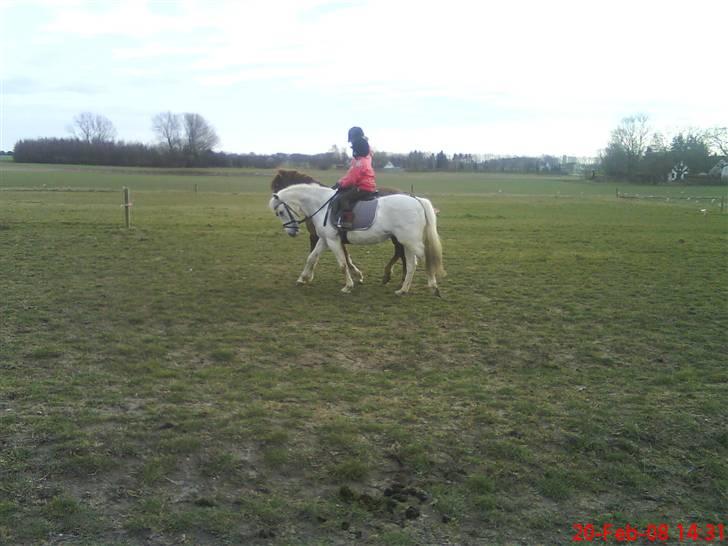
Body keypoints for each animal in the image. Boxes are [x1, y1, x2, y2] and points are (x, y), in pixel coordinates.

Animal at [270, 182, 446, 294]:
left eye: (280, 212)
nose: (292, 232)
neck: (322, 205)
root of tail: (416, 200)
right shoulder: (325, 239)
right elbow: (312, 257)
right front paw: (302, 279)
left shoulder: (333, 240)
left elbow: (342, 263)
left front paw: (348, 286)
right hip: (406, 242)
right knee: (411, 264)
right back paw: (403, 289)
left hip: (410, 241)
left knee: (426, 258)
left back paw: (433, 287)